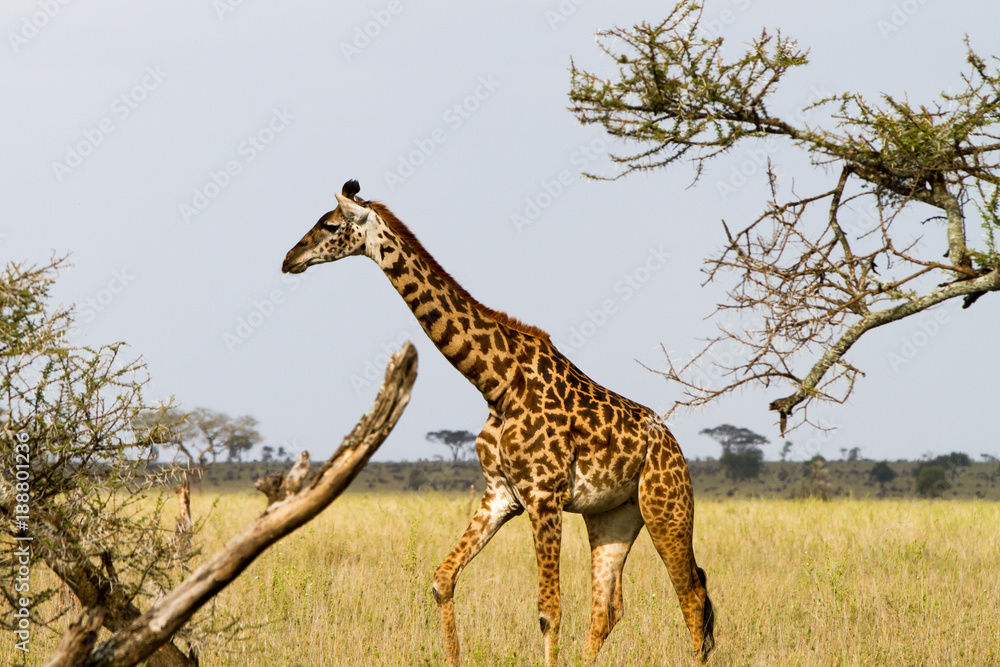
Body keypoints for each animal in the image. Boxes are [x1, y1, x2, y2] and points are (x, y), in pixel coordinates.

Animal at [281, 180, 715, 666]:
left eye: (330, 224)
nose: (289, 258)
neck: (497, 383)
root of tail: (675, 448)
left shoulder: (544, 495)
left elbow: (549, 612)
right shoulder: (501, 494)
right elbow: (442, 579)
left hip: (666, 507)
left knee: (692, 596)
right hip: (612, 516)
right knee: (608, 608)